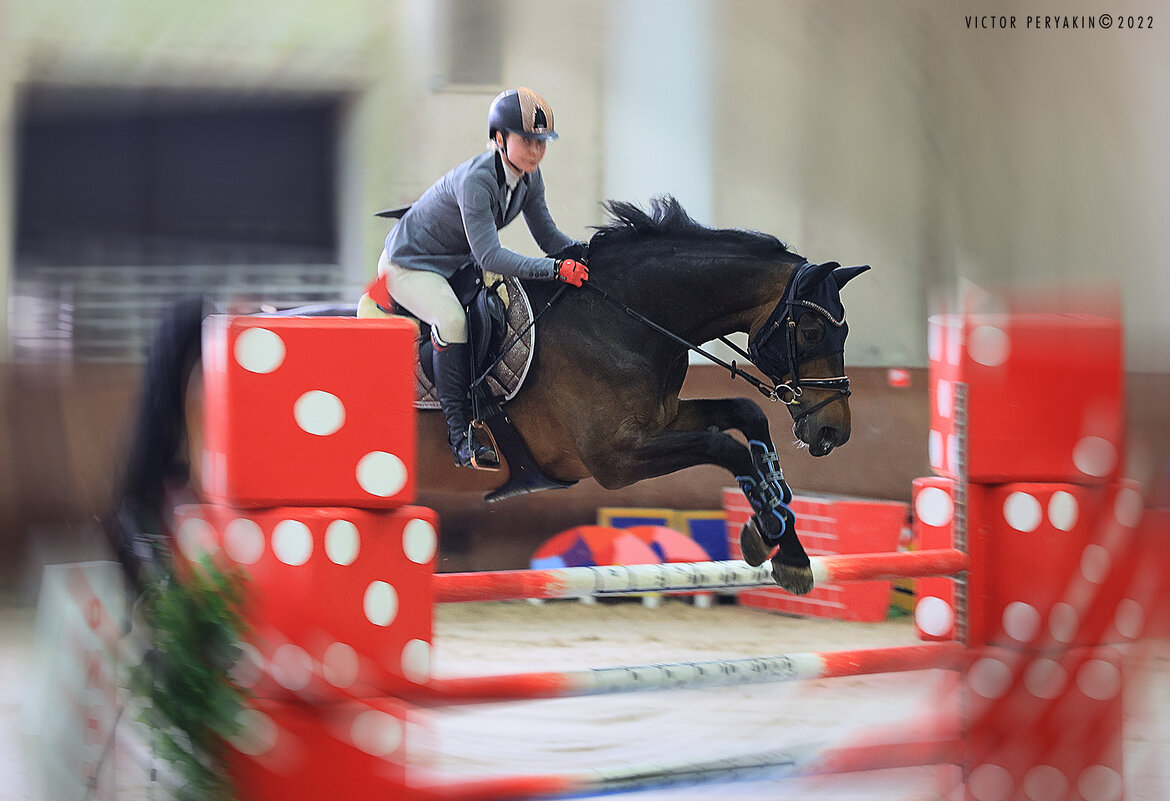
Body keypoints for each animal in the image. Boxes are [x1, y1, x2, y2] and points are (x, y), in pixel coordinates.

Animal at [107, 197, 870, 596]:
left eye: (843, 329)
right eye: (808, 327)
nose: (834, 430)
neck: (625, 315)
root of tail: (217, 324)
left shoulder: (657, 421)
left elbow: (745, 419)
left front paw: (783, 540)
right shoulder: (616, 458)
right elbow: (725, 443)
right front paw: (769, 534)